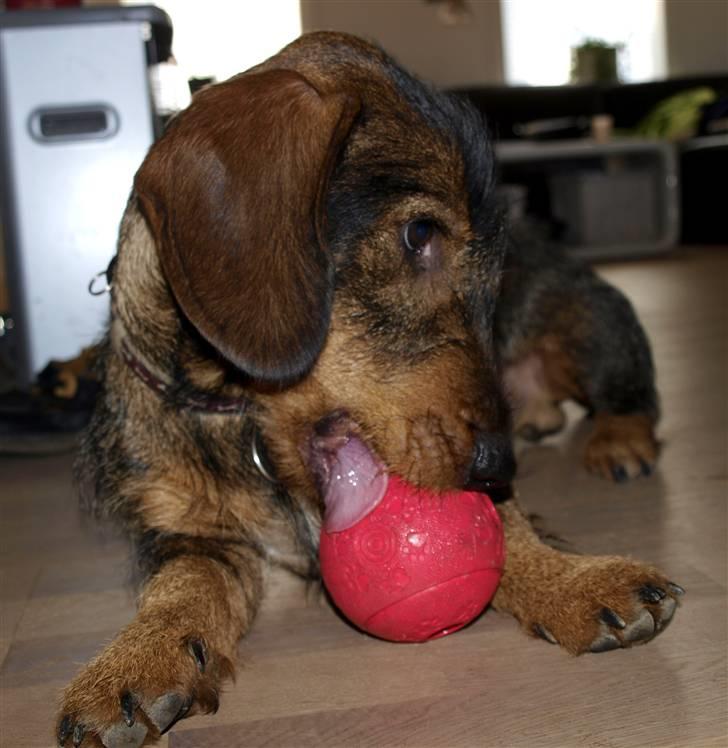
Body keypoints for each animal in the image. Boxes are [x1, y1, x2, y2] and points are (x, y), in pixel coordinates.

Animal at [57, 32, 684, 744]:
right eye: (420, 233)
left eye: (492, 269)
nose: (498, 468)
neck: (239, 416)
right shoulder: (185, 530)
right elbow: (184, 584)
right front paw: (139, 656)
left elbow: (510, 530)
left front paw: (573, 580)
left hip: (588, 321)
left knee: (632, 392)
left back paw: (617, 440)